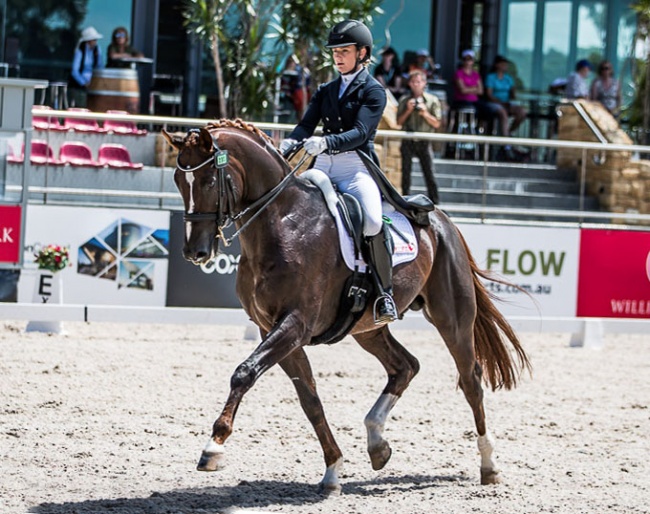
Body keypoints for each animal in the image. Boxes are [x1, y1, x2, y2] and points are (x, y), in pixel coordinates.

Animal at [162, 119, 528, 492]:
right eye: (178, 180)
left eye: (208, 180)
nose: (194, 252)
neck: (283, 223)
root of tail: (442, 220)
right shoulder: (272, 329)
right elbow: (309, 399)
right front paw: (333, 469)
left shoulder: (295, 324)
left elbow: (244, 373)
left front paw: (214, 447)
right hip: (367, 329)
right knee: (405, 366)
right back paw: (377, 444)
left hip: (452, 318)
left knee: (470, 380)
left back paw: (489, 465)